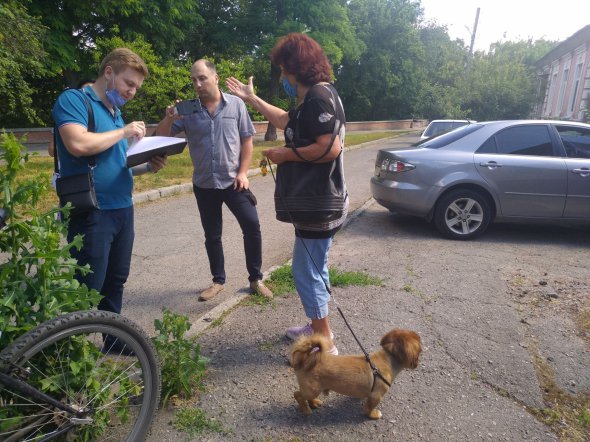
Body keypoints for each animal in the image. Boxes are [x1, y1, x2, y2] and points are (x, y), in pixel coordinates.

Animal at [290, 330, 420, 420]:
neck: (388, 359)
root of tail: (303, 361)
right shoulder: (376, 396)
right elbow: (369, 408)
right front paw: (373, 415)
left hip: (313, 389)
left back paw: (314, 403)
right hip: (312, 389)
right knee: (298, 395)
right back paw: (306, 409)